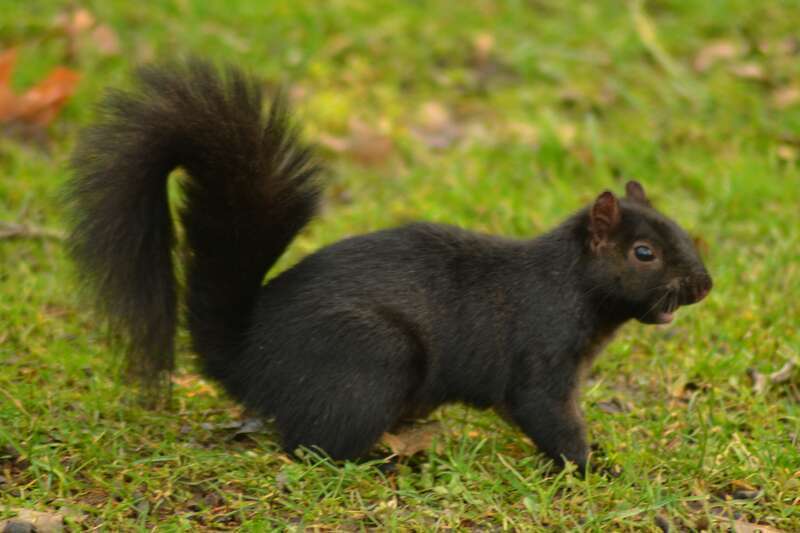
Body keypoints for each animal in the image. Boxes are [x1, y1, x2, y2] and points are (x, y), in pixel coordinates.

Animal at [66, 59, 712, 470]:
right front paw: (592, 467)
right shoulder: (541, 357)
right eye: (644, 253)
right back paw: (384, 464)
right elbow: (547, 415)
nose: (703, 286)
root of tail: (248, 358)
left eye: (681, 230)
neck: (570, 284)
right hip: (372, 357)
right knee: (312, 447)